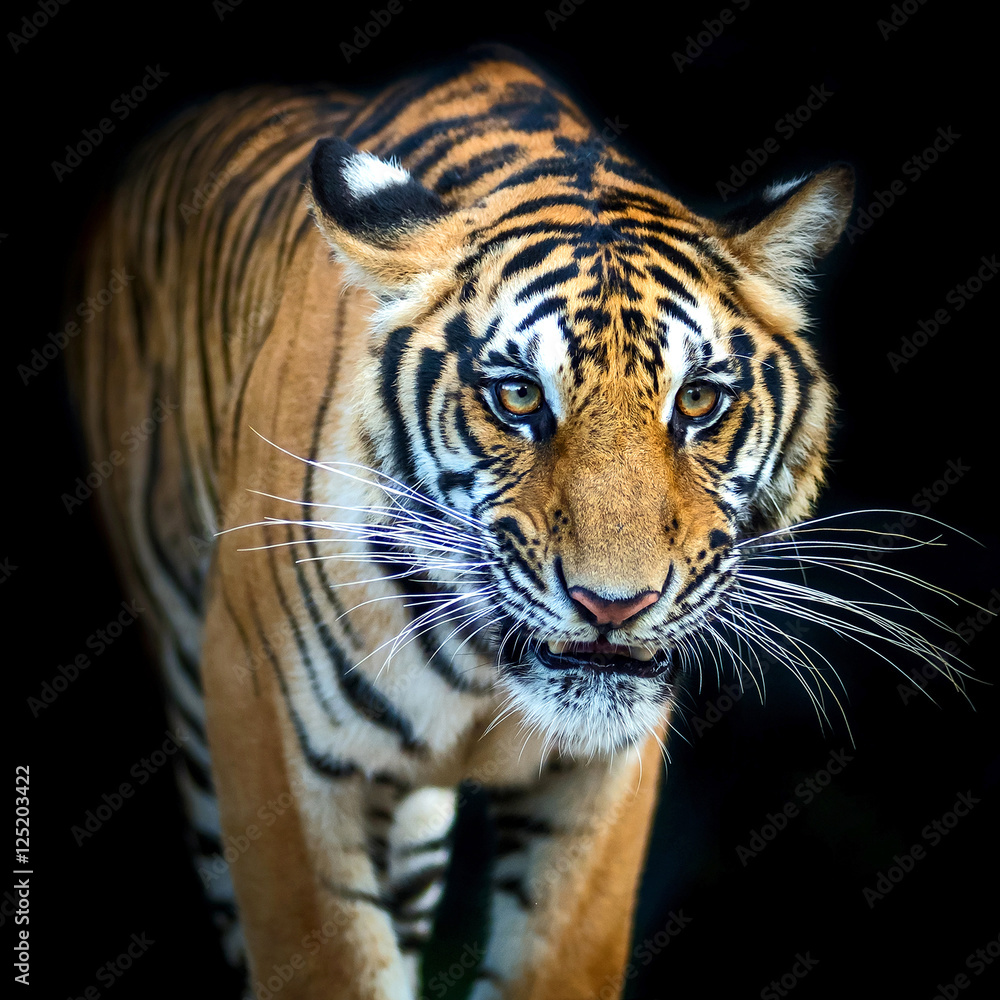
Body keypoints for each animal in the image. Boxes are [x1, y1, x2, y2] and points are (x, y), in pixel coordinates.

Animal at [68, 42, 956, 1000]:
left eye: (698, 401)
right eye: (520, 396)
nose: (614, 605)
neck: (484, 667)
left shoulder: (606, 771)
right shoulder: (272, 739)